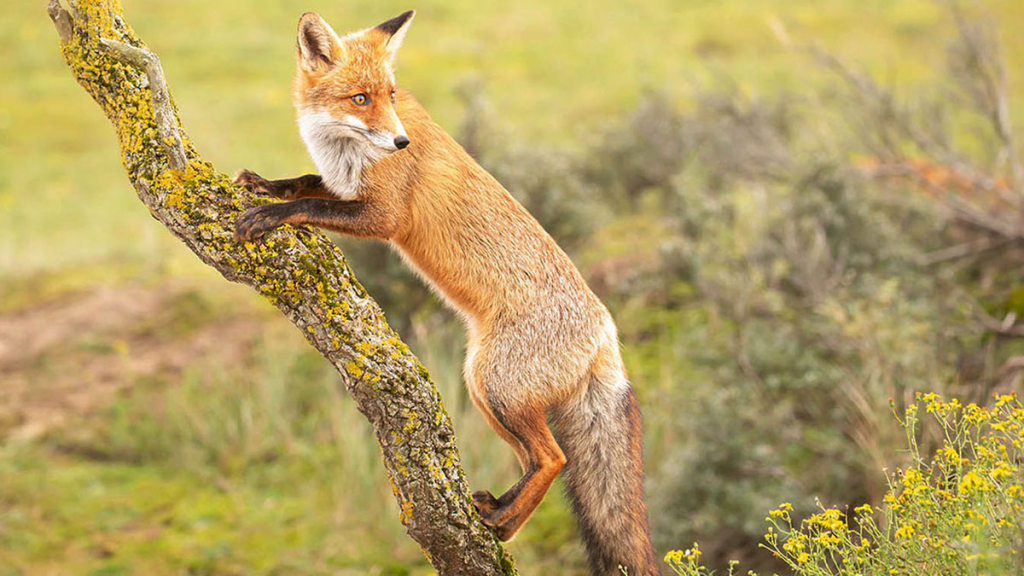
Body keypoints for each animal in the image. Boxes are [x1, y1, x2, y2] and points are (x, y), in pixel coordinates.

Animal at [233, 10, 658, 575]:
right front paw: (264, 183)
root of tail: (607, 330)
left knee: (554, 458)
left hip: (495, 383)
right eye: (361, 98)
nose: (400, 143)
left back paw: (499, 521)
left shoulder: (383, 214)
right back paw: (501, 515)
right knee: (535, 459)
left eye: (389, 94)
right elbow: (304, 181)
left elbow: (309, 205)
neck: (344, 149)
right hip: (483, 388)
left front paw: (269, 213)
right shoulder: (343, 184)